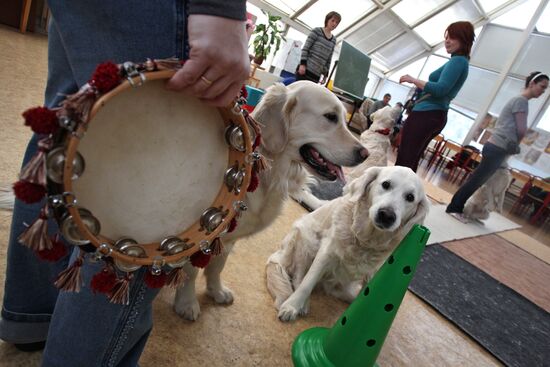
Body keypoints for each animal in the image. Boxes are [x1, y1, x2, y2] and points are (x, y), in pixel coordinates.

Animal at [175, 80, 368, 320]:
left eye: (342, 117)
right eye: (330, 117)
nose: (365, 154)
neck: (272, 174)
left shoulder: (228, 239)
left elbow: (218, 264)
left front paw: (216, 291)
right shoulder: (201, 234)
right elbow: (191, 271)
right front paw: (187, 302)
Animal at [268, 167, 432, 322]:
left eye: (410, 197)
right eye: (386, 184)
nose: (386, 215)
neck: (366, 240)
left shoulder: (377, 272)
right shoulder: (327, 252)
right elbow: (307, 282)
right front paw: (292, 306)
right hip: (307, 237)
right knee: (298, 276)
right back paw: (302, 304)